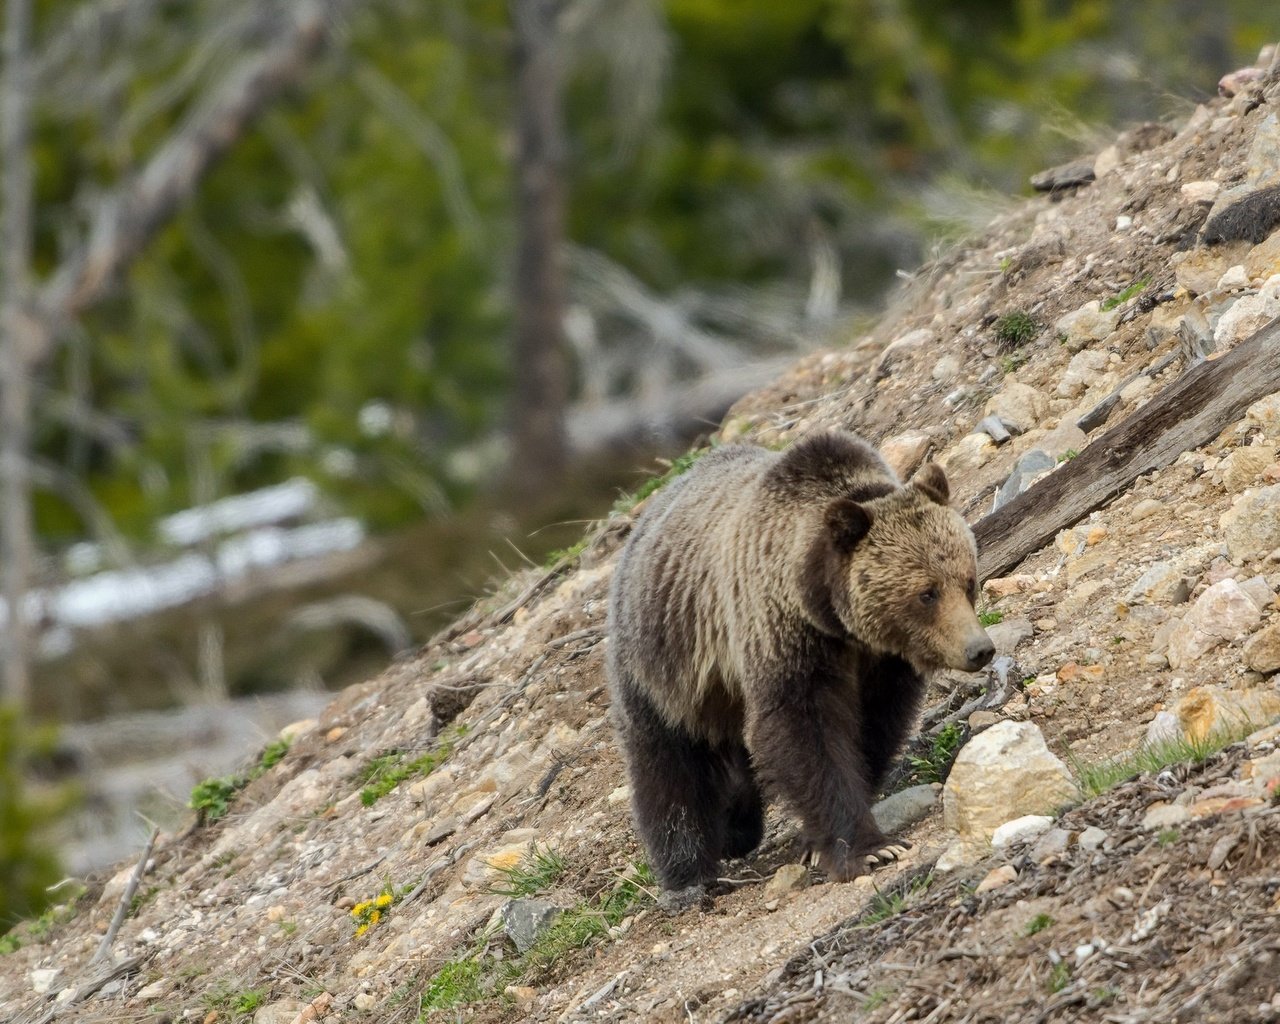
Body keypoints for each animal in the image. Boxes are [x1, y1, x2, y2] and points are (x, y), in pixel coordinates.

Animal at [606, 430, 988, 896]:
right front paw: (868, 849)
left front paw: (819, 838)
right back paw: (688, 874)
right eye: (926, 593)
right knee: (668, 765)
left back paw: (737, 827)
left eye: (967, 581)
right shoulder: (781, 633)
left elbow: (873, 725)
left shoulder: (880, 662)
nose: (979, 649)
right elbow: (805, 734)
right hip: (664, 665)